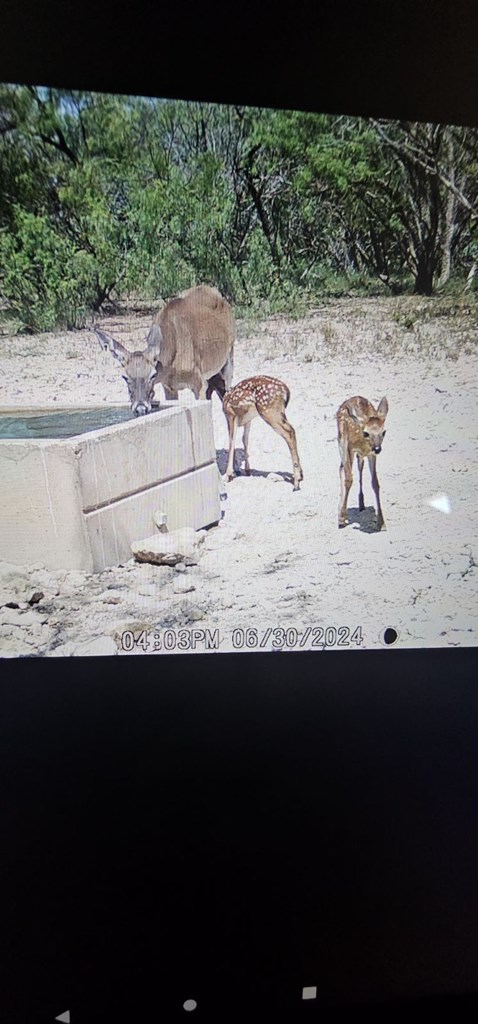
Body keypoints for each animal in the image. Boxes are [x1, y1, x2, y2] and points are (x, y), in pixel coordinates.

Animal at [92, 286, 234, 413]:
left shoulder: (199, 383)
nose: (140, 408)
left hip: (229, 359)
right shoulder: (168, 387)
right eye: (125, 377)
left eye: (153, 374)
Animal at [337, 395, 388, 532]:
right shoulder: (349, 447)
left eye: (384, 432)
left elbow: (375, 483)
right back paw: (341, 511)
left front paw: (381, 523)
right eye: (366, 432)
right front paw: (341, 518)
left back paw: (361, 504)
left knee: (358, 466)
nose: (378, 448)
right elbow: (348, 478)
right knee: (342, 469)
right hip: (341, 441)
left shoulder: (371, 454)